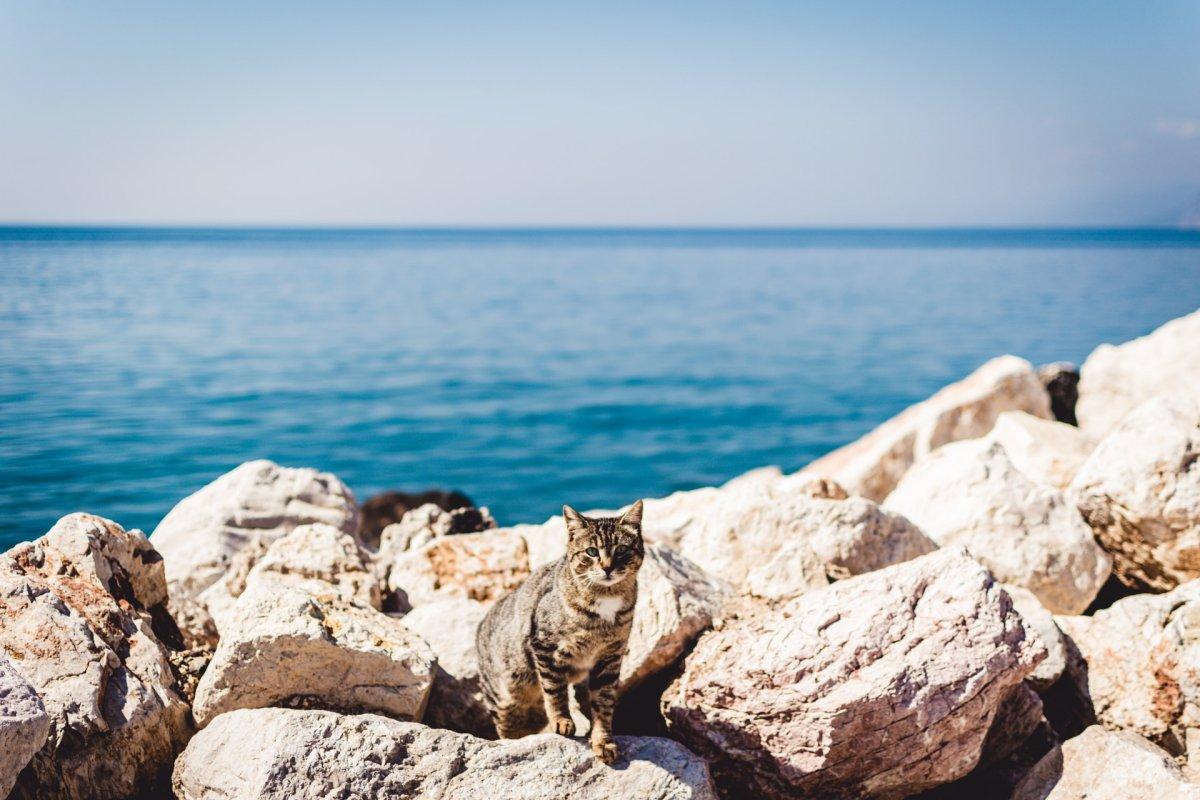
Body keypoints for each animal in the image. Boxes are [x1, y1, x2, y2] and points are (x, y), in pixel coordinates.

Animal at [475, 501, 648, 762]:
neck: (606, 599)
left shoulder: (610, 657)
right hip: (505, 697)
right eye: (591, 552)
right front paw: (561, 721)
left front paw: (603, 740)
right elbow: (555, 689)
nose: (607, 568)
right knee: (508, 728)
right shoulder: (545, 647)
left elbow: (603, 703)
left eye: (621, 550)